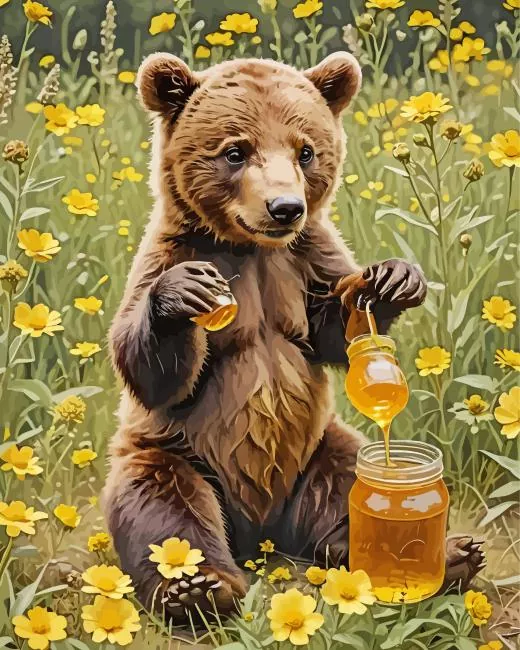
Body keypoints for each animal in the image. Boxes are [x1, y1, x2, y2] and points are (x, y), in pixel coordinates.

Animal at [105, 51, 484, 619]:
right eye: (235, 151)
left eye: (305, 151)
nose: (286, 207)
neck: (250, 248)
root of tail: (260, 531)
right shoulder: (173, 251)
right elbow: (150, 368)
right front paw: (184, 296)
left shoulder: (306, 258)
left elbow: (333, 328)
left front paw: (394, 279)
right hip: (173, 454)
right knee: (166, 507)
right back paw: (200, 587)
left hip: (318, 448)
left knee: (344, 480)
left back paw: (442, 553)